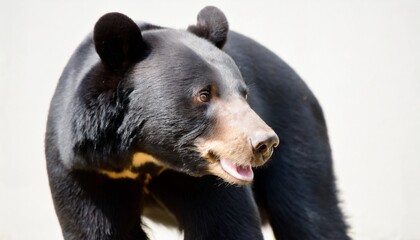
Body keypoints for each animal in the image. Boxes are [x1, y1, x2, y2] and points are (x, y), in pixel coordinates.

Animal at [45, 5, 348, 240]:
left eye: (244, 94)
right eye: (204, 95)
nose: (264, 143)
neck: (147, 155)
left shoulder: (210, 180)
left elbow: (224, 227)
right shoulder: (84, 169)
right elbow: (97, 227)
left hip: (298, 134)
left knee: (310, 213)